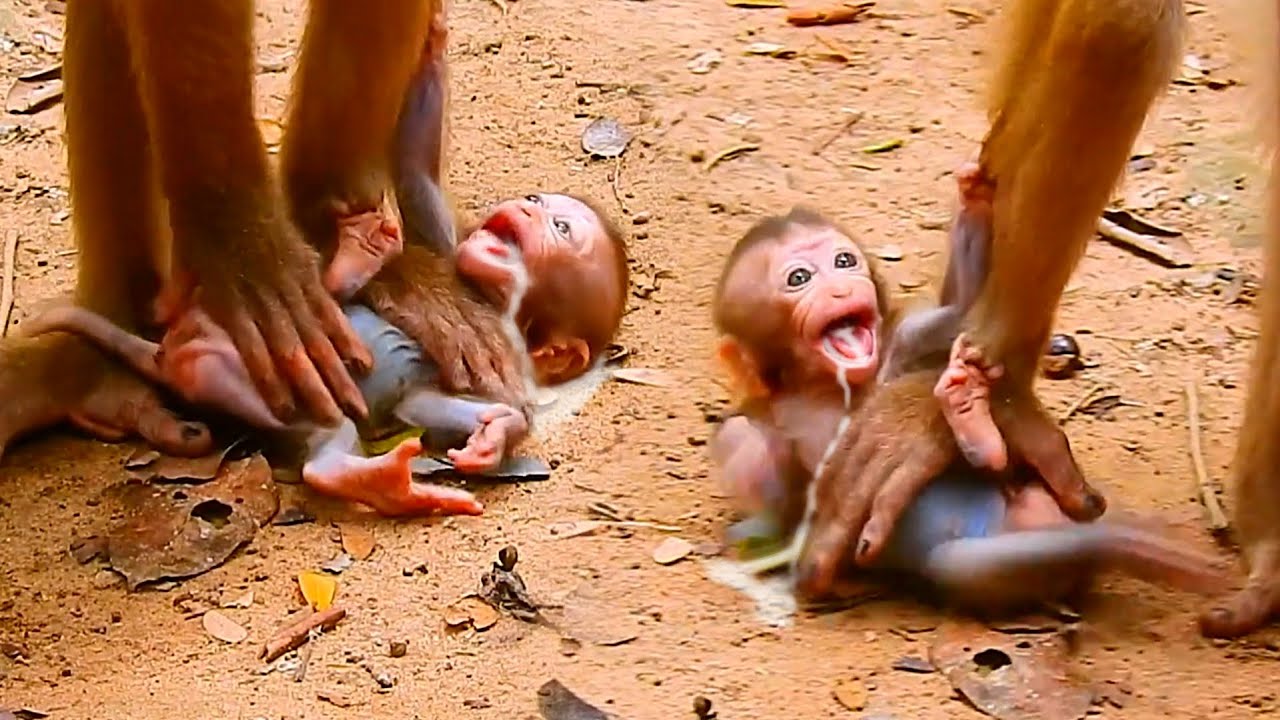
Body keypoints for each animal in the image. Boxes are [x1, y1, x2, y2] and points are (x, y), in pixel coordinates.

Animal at [709, 181, 1226, 614]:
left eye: (843, 262)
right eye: (799, 278)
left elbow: (960, 312)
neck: (832, 387)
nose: (842, 287)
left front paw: (975, 204)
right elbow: (757, 455)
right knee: (968, 557)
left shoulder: (903, 343)